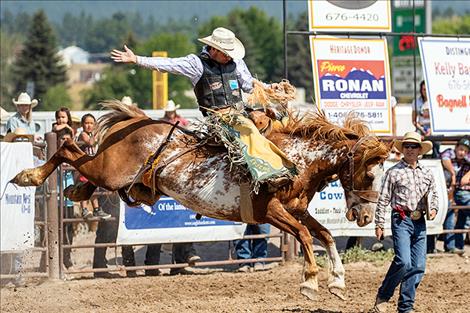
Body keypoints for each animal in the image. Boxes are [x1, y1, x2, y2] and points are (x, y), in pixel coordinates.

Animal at [12, 100, 392, 300]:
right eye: (370, 175)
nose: (363, 217)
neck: (293, 158)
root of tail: (137, 121)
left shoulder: (295, 210)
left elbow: (323, 234)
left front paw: (338, 281)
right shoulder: (269, 212)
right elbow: (303, 235)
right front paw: (311, 282)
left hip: (110, 173)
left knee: (77, 159)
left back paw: (75, 191)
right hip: (109, 170)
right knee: (66, 147)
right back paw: (28, 176)